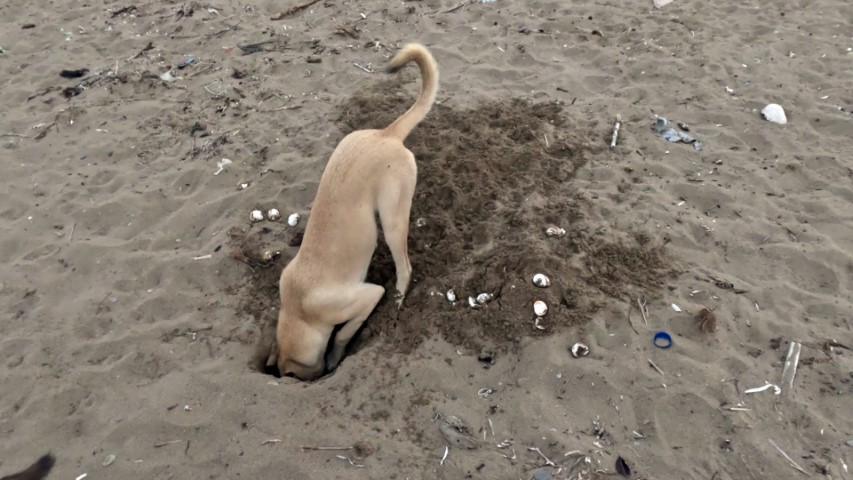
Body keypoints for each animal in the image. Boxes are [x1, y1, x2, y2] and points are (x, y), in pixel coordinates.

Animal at [266, 43, 440, 380]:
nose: (320, 374)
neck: (299, 310)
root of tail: (386, 134)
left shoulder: (366, 297)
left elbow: (344, 333)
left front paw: (336, 355)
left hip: (392, 221)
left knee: (405, 269)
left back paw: (399, 300)